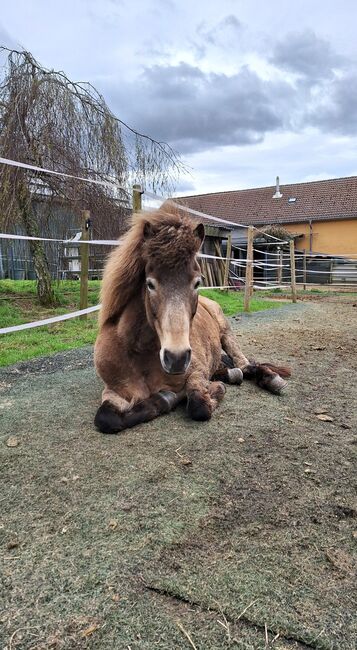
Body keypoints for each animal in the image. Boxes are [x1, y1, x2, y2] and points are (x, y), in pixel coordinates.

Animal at [94, 206, 290, 430]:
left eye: (197, 282)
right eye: (150, 284)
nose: (176, 358)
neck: (140, 355)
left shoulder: (196, 373)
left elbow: (198, 405)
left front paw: (214, 390)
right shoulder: (113, 391)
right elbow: (106, 419)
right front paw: (164, 399)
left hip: (227, 334)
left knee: (245, 365)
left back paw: (270, 379)